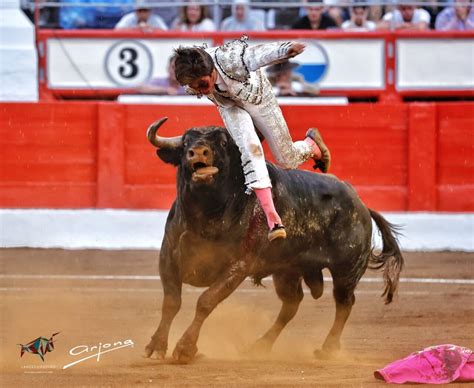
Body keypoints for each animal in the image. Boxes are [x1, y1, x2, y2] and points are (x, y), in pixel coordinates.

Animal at [144, 118, 404, 364]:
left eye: (224, 142)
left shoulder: (238, 266)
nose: (198, 152)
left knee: (344, 304)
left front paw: (185, 349)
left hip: (346, 271)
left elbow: (206, 301)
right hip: (287, 271)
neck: (207, 215)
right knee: (292, 304)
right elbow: (172, 302)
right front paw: (156, 346)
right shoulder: (168, 257)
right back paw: (259, 346)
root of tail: (361, 204)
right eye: (185, 143)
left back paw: (327, 349)